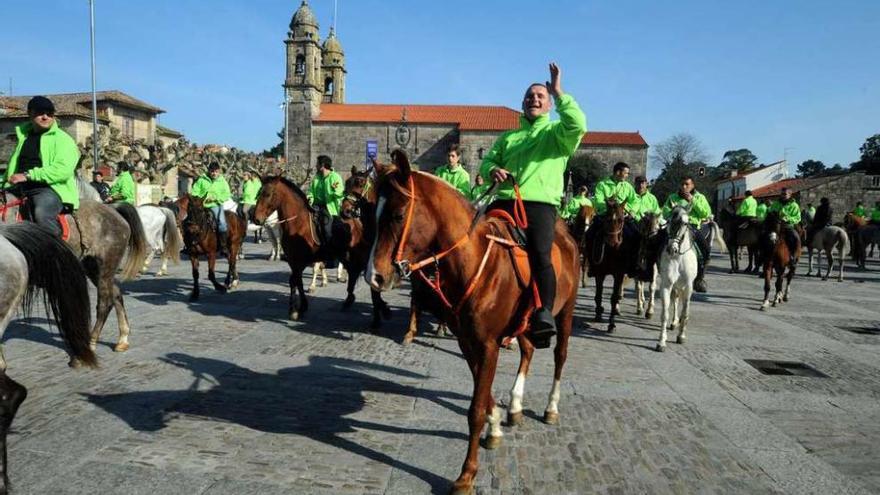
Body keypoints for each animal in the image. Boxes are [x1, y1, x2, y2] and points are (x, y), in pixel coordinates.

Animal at [0, 179, 147, 356]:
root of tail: (113, 210)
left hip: (105, 265)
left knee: (104, 303)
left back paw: (91, 342)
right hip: (92, 267)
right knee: (116, 294)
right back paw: (122, 339)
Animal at [254, 176, 392, 328]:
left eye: (267, 194)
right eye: (259, 193)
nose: (256, 218)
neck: (298, 223)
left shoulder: (300, 262)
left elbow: (295, 280)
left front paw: (294, 309)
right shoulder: (294, 262)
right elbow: (296, 282)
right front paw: (301, 307)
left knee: (370, 283)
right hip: (348, 257)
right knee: (354, 275)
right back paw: (355, 300)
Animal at [366, 152, 580, 495]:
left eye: (398, 215)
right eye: (372, 213)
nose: (373, 276)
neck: (473, 259)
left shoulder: (488, 344)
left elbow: (475, 409)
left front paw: (467, 474)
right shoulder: (469, 341)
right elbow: (484, 391)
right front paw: (495, 426)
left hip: (566, 312)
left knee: (560, 357)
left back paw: (551, 407)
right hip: (524, 324)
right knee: (528, 351)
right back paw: (516, 406)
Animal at [652, 208, 728, 352]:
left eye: (685, 223)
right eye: (669, 221)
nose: (672, 249)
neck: (678, 257)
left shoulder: (688, 286)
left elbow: (685, 311)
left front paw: (681, 336)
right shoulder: (666, 285)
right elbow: (665, 314)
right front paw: (661, 342)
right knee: (675, 299)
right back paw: (674, 322)